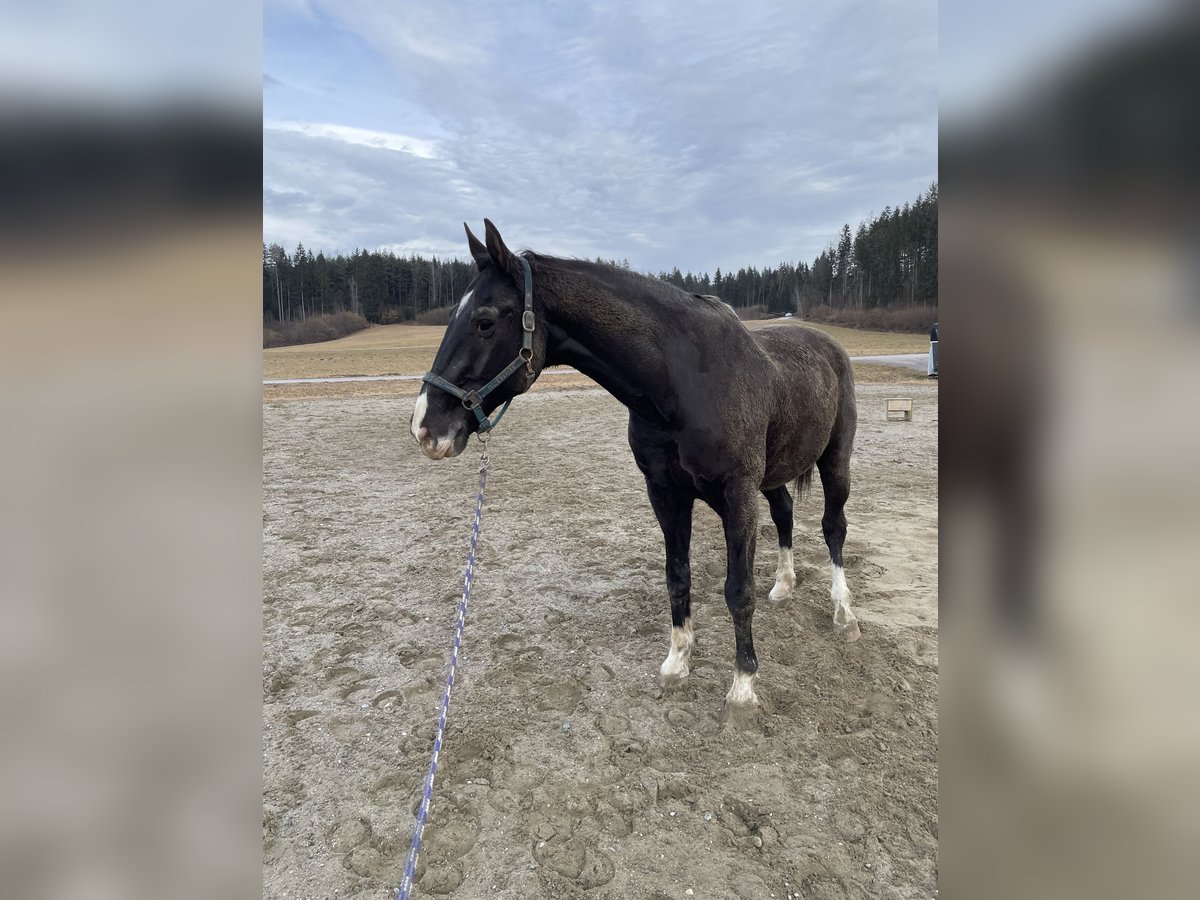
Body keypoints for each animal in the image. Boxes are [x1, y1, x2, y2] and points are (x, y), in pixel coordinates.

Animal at [415, 224, 864, 720]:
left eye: (485, 321)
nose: (426, 426)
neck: (686, 381)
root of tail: (830, 346)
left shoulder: (737, 496)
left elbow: (738, 591)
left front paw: (742, 688)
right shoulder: (665, 493)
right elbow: (677, 576)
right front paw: (677, 663)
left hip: (835, 462)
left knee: (833, 528)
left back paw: (845, 614)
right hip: (773, 477)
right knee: (784, 512)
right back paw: (784, 587)